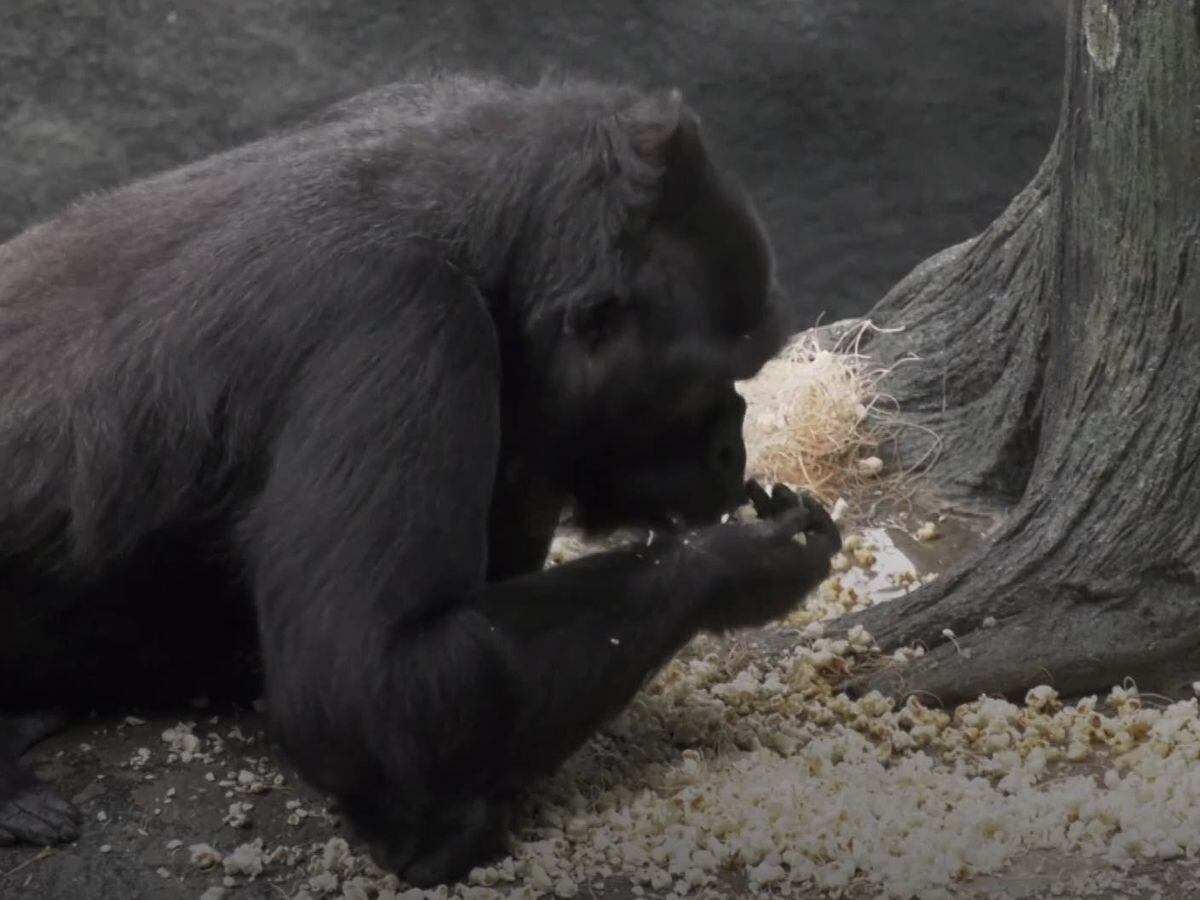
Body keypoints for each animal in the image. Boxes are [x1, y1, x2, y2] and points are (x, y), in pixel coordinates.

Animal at [0, 75, 844, 888]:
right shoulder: (404, 316)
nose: (732, 446)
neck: (494, 235)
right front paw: (742, 563)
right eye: (710, 382)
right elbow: (367, 685)